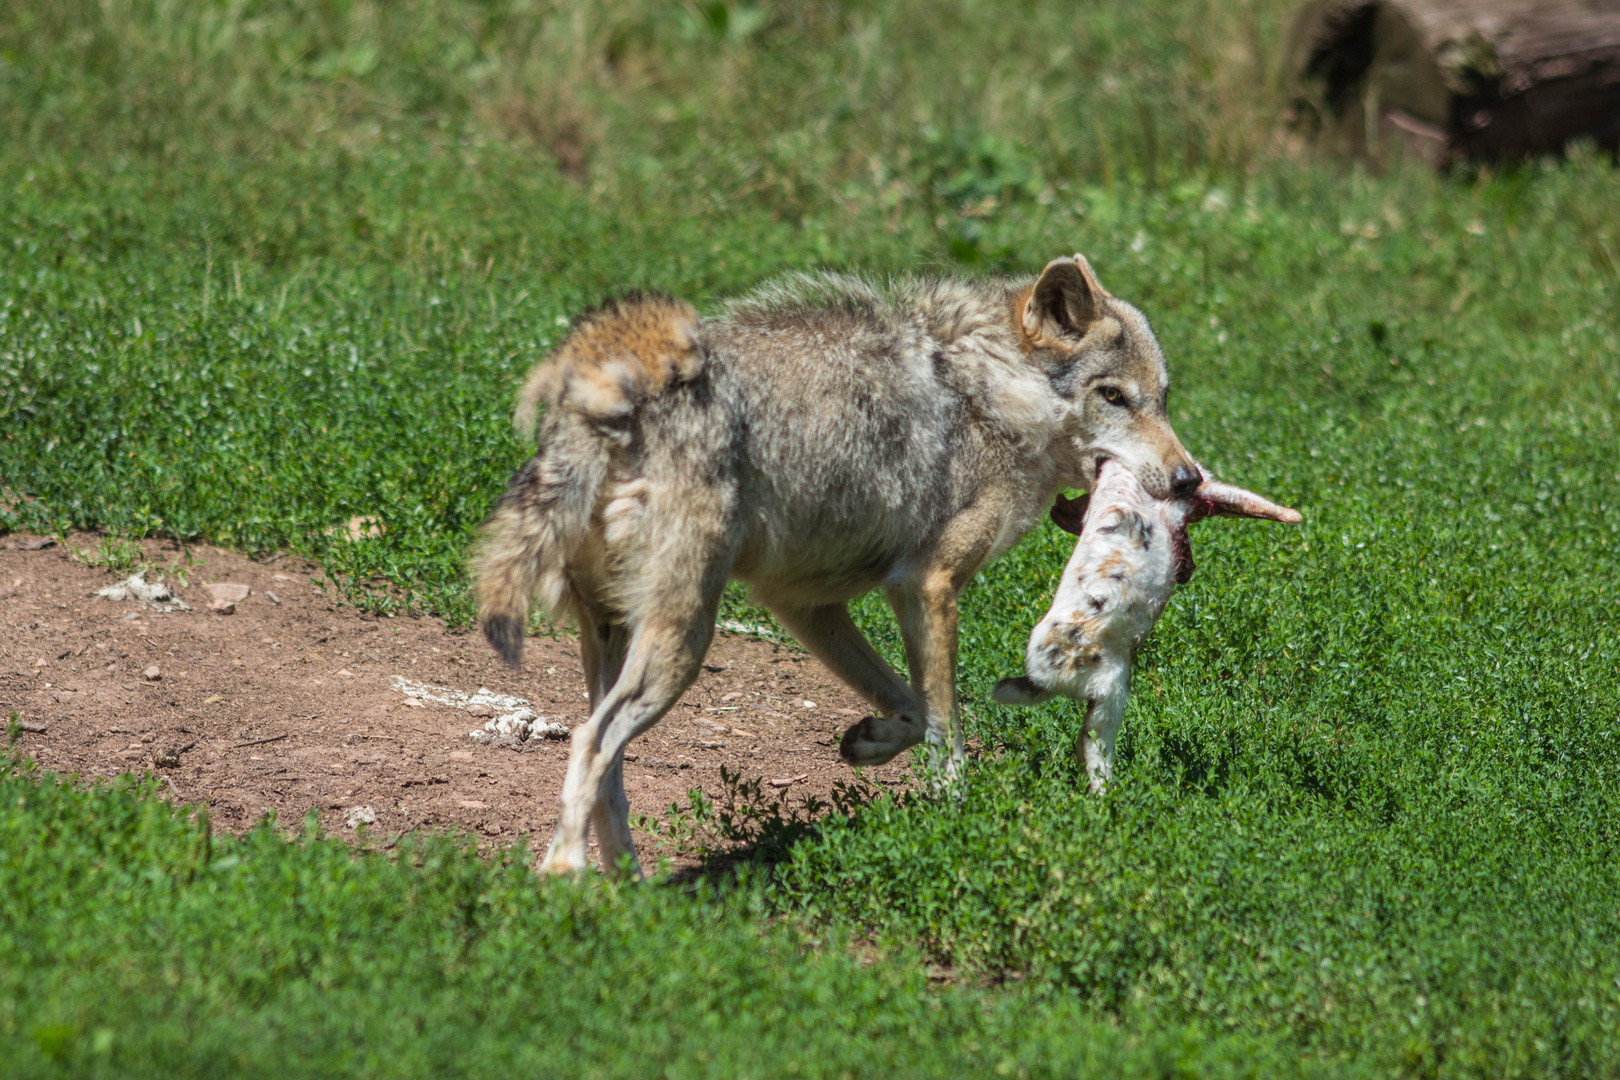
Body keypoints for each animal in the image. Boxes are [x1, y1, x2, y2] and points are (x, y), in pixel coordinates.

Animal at [473, 255, 1205, 880]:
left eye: (1164, 399)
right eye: (1114, 396)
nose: (1190, 480)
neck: (991, 393)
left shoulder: (804, 604)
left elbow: (910, 709)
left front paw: (868, 742)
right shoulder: (929, 588)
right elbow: (948, 732)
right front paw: (957, 826)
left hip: (622, 638)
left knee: (610, 775)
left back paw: (630, 891)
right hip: (682, 644)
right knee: (589, 743)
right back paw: (565, 877)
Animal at [984, 459, 1302, 790]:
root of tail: (1040, 678)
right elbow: (1245, 500)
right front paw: (1295, 516)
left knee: (1084, 738)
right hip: (1112, 689)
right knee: (1096, 744)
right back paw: (1109, 793)